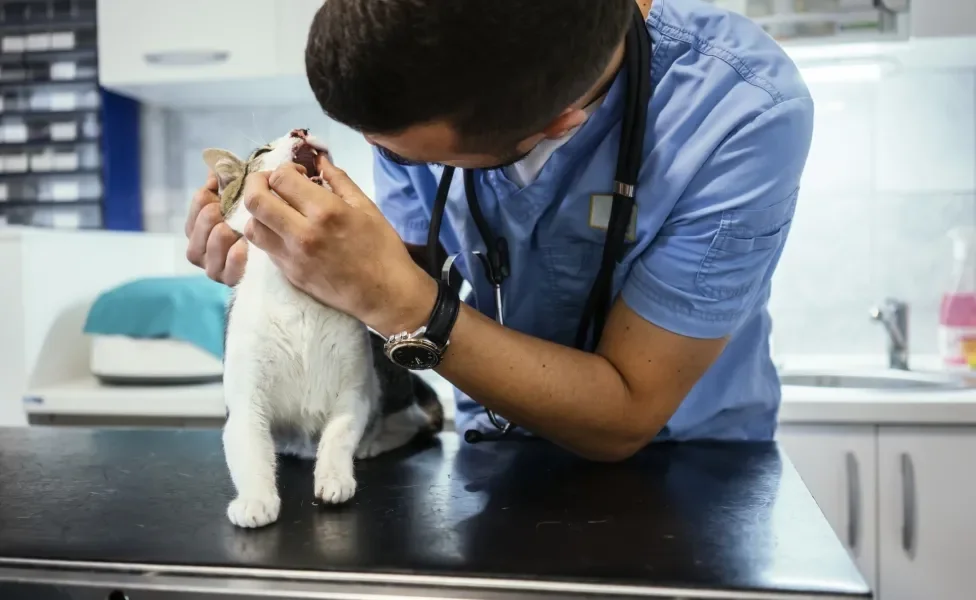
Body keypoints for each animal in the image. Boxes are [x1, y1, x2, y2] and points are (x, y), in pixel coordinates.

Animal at [204, 129, 444, 528]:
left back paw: (373, 441)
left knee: (414, 420)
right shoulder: (244, 397)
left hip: (386, 376)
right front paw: (256, 498)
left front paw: (334, 476)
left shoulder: (355, 389)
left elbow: (339, 433)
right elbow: (249, 446)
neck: (298, 292)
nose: (299, 130)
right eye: (262, 150)